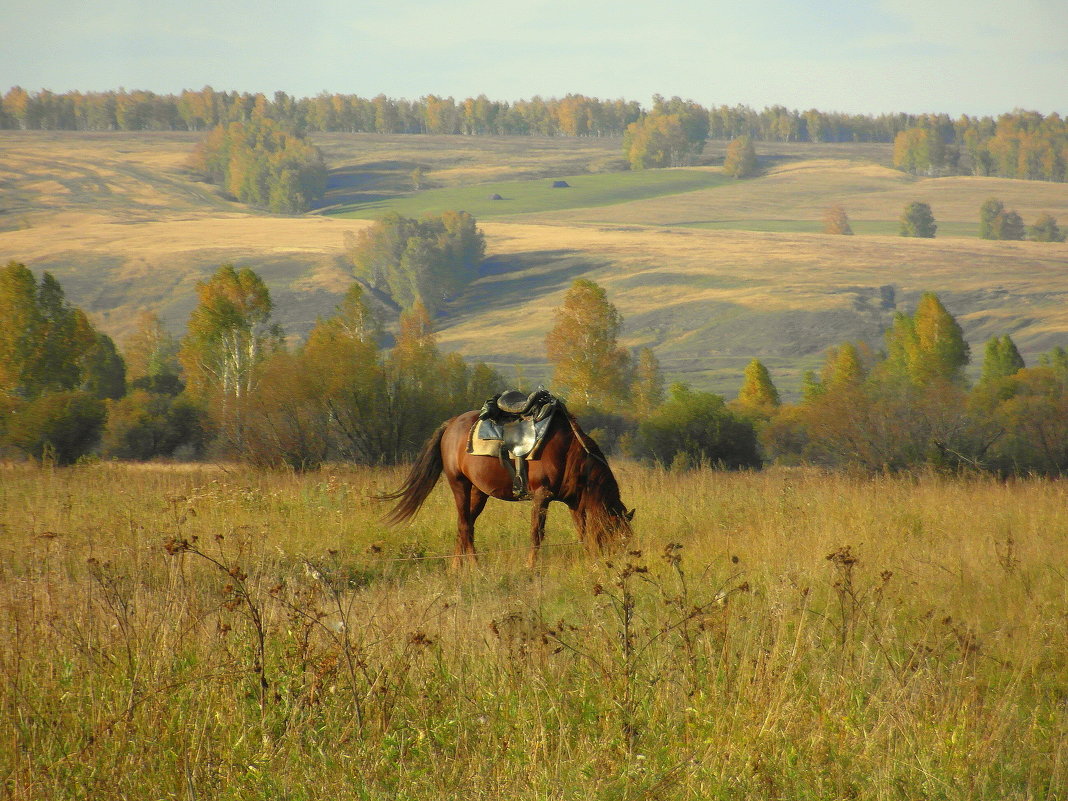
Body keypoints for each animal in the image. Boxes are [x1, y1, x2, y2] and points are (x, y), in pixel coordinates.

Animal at [382, 403, 632, 568]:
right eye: (614, 531)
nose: (618, 562)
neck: (568, 452)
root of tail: (450, 424)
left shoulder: (574, 502)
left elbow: (582, 531)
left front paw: (590, 558)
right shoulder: (542, 496)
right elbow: (536, 534)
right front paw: (531, 567)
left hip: (479, 491)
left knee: (466, 525)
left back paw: (456, 567)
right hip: (459, 484)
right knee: (464, 525)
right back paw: (475, 567)